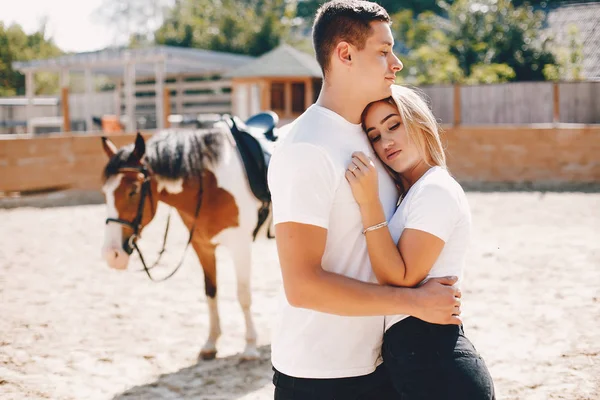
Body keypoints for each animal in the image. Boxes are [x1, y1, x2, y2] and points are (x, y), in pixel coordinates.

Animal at [101, 122, 268, 360]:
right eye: (104, 193)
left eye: (133, 191)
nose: (111, 254)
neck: (209, 183)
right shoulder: (202, 246)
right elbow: (210, 291)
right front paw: (210, 343)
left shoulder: (240, 246)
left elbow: (243, 295)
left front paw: (250, 346)